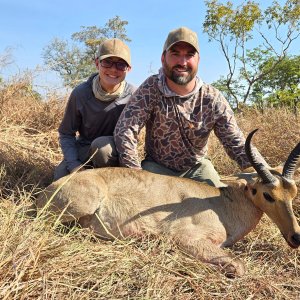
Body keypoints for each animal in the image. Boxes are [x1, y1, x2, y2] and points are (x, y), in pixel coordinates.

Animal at [36, 129, 298, 276]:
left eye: (293, 192)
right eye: (267, 194)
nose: (296, 237)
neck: (220, 204)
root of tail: (46, 191)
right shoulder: (186, 239)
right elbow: (239, 266)